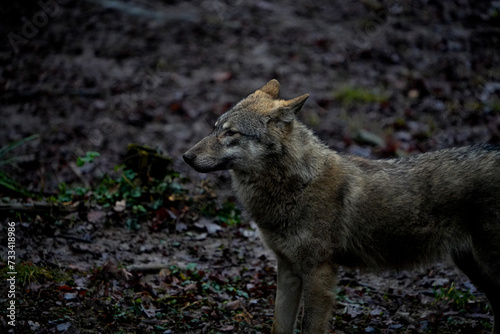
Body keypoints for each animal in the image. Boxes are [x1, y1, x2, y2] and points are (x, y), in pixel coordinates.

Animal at [184, 80, 500, 334]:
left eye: (231, 134)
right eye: (215, 128)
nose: (186, 156)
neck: (295, 185)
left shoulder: (319, 273)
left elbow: (310, 328)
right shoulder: (287, 269)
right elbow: (279, 326)